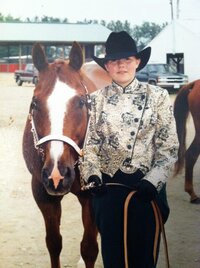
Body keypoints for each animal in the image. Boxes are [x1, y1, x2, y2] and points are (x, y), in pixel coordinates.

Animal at [22, 42, 99, 268]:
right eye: (34, 103)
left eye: (81, 102)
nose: (57, 175)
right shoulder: (42, 192)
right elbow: (54, 243)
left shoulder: (93, 196)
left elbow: (89, 248)